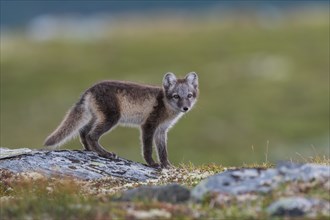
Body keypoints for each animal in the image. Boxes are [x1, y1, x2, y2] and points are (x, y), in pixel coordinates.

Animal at [44, 72, 199, 167]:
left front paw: (167, 165)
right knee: (91, 135)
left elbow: (163, 151)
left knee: (83, 131)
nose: (185, 108)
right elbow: (148, 149)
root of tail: (89, 90)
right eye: (176, 96)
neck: (166, 105)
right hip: (111, 118)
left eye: (189, 95)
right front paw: (152, 164)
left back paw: (90, 150)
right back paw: (105, 154)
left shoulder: (161, 130)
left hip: (96, 117)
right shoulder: (148, 125)